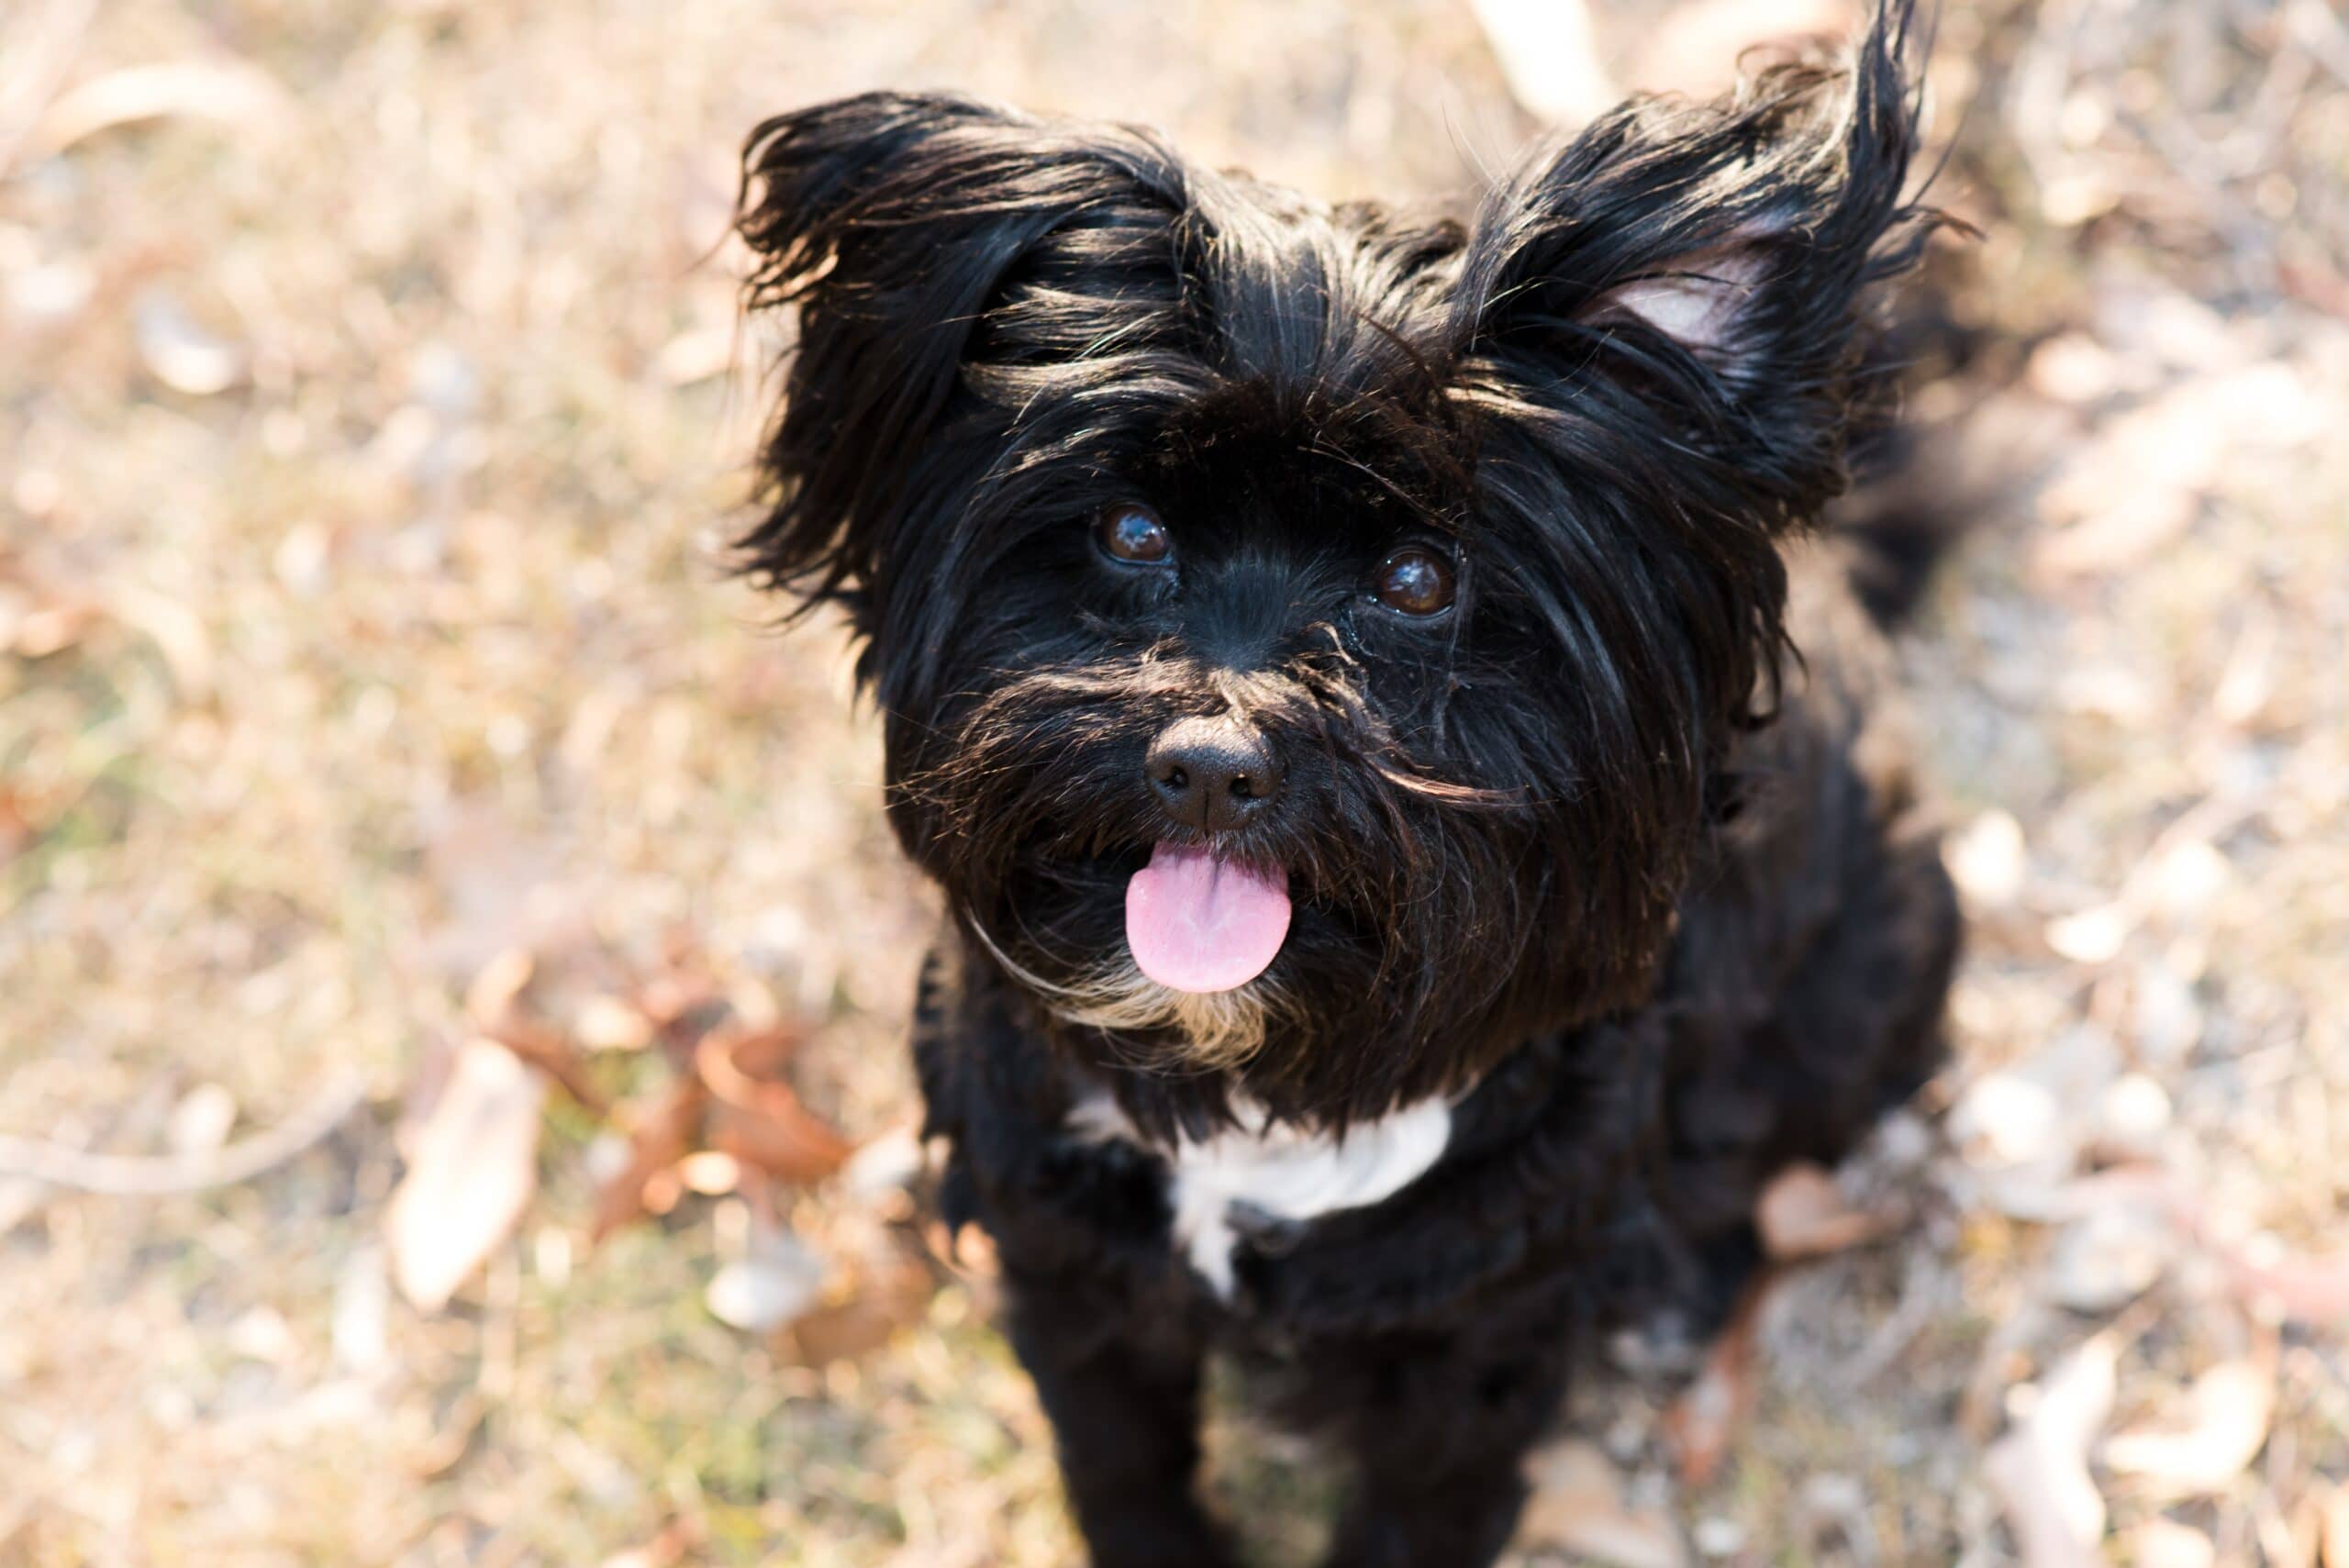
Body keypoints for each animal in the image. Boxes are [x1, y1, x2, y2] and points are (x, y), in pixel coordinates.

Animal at [737, 6, 1964, 1558]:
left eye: (1420, 578)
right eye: (1130, 531)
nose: (1209, 767)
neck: (1261, 1098)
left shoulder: (1474, 1358)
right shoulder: (1072, 1279)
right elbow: (1120, 1464)